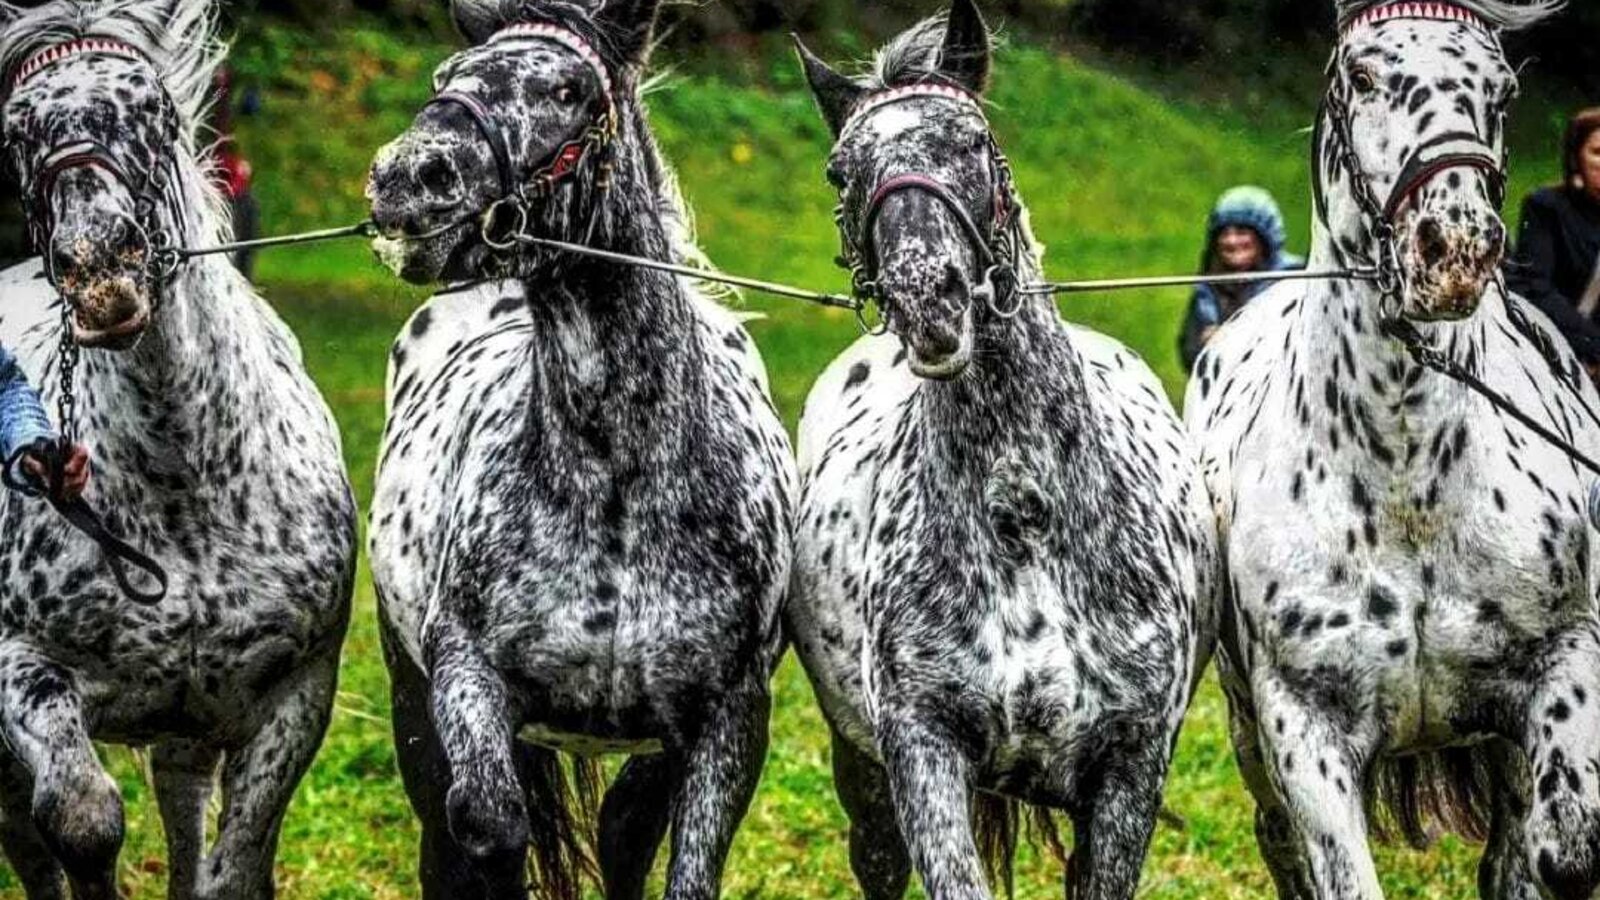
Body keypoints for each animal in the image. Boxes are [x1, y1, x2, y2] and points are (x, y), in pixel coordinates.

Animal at [0, 0, 357, 897]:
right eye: (16, 130)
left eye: (156, 112)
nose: (100, 271)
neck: (183, 486)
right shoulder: (21, 668)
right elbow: (81, 822)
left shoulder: (292, 698)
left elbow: (233, 866)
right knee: (23, 836)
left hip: (187, 734)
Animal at [364, 0, 795, 897]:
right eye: (445, 76)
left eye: (567, 90)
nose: (406, 180)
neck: (617, 485)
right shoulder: (466, 678)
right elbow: (490, 826)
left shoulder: (724, 722)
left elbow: (662, 854)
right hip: (408, 694)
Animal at [787, 2, 1217, 896]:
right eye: (842, 172)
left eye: (976, 141)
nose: (930, 300)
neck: (1026, 520)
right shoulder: (921, 755)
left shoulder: (1126, 775)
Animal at [1184, 1, 1600, 896]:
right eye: (1364, 74)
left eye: (1502, 88)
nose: (1455, 247)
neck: (1407, 478)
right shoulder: (1303, 728)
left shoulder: (1564, 664)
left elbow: (1562, 850)